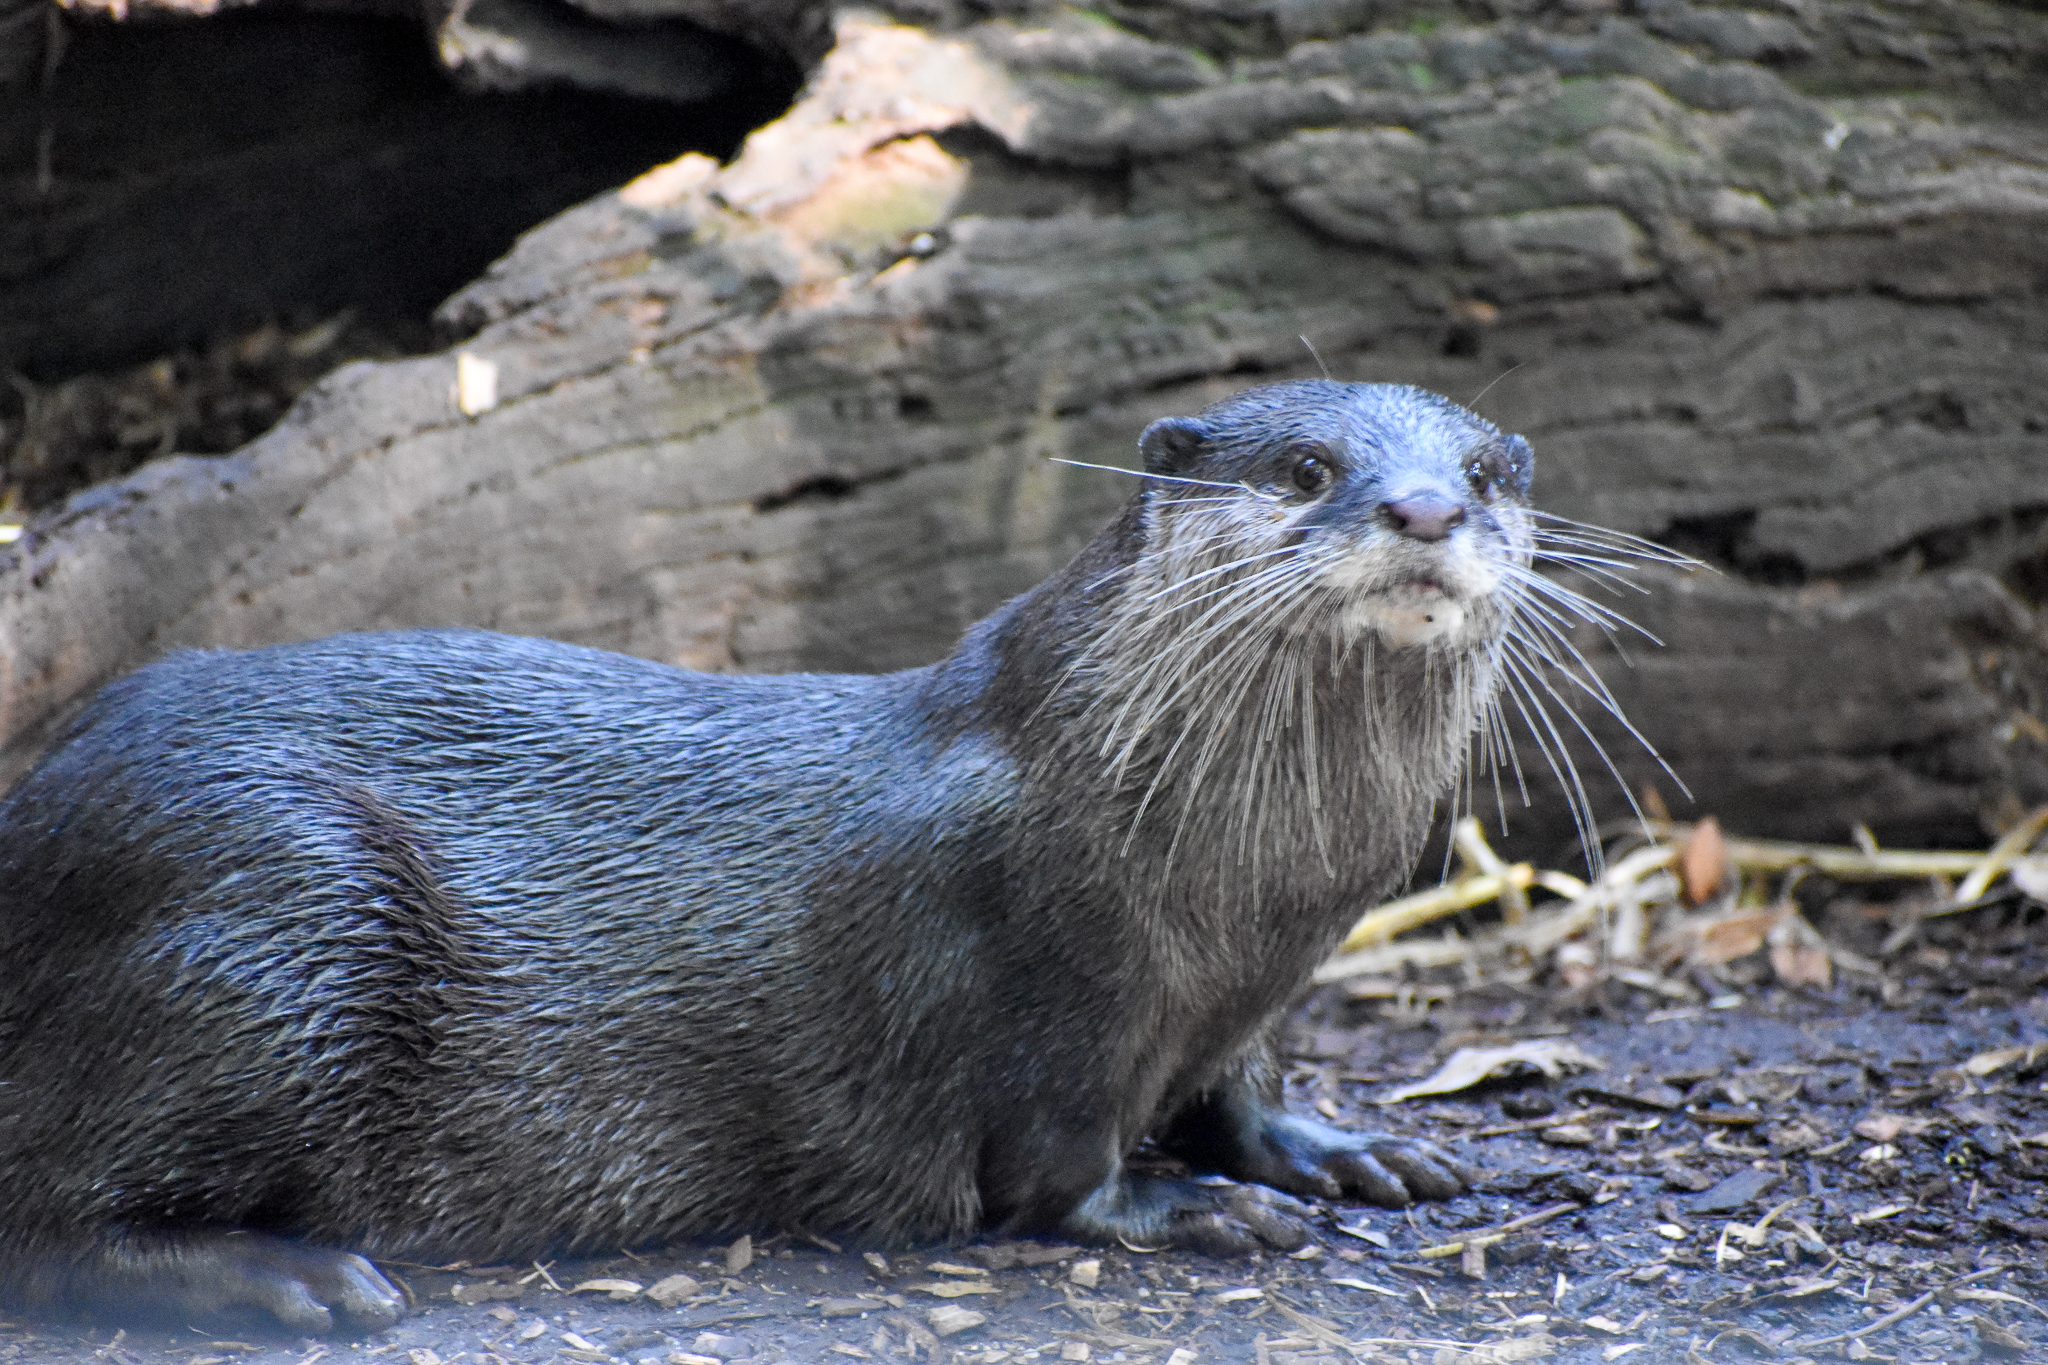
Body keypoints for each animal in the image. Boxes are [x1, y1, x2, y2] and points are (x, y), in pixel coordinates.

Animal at [0, 381, 1561, 1332]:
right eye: (1306, 468)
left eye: (1487, 474)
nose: (1426, 510)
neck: (1230, 886)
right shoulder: (1047, 994)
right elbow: (1056, 1176)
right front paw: (1193, 1209)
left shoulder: (1249, 990)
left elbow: (1243, 1082)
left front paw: (1343, 1150)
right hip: (283, 912)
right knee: (46, 1211)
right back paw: (297, 1278)